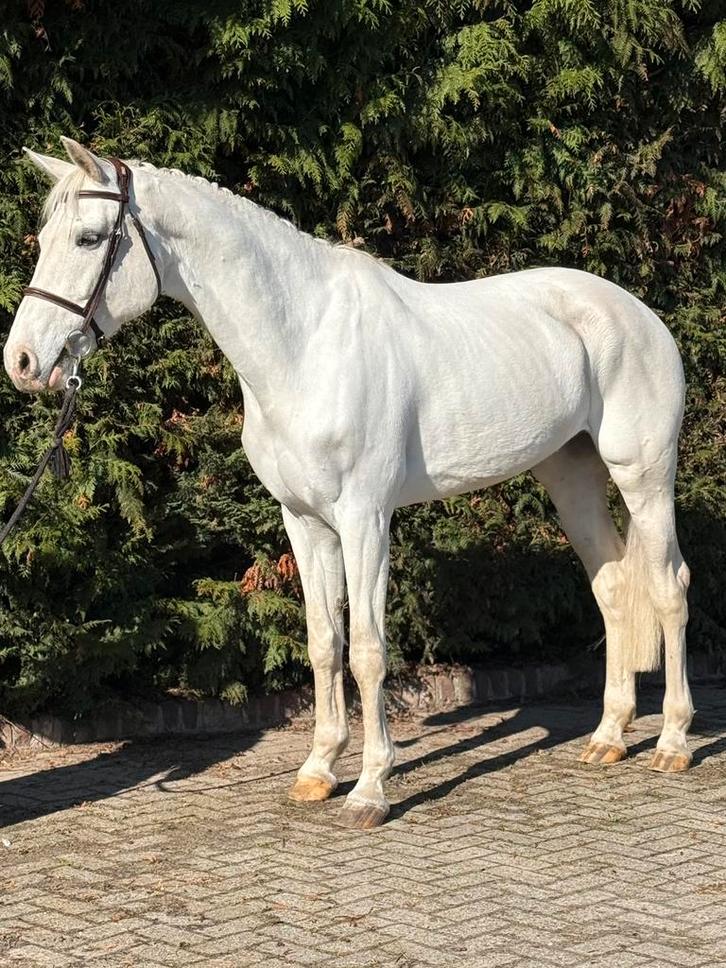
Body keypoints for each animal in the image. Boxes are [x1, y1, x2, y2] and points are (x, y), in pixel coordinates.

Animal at [4, 138, 693, 828]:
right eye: (43, 237)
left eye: (90, 238)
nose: (23, 362)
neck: (305, 342)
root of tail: (640, 315)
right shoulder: (304, 521)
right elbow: (322, 643)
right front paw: (317, 772)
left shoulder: (365, 518)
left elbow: (366, 648)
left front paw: (370, 789)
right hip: (570, 475)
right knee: (612, 586)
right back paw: (608, 738)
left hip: (644, 476)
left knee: (669, 587)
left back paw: (673, 744)